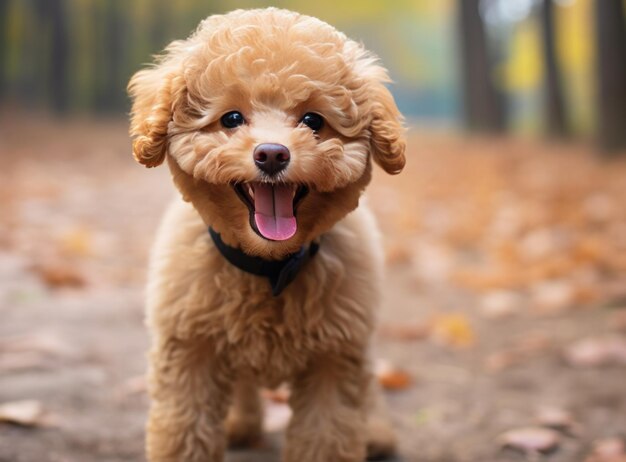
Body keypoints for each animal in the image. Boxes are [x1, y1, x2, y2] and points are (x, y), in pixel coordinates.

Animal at [128, 8, 404, 462]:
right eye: (231, 119)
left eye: (312, 121)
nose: (272, 154)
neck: (269, 266)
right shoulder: (190, 351)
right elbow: (185, 432)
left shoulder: (335, 356)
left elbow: (326, 435)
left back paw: (377, 434)